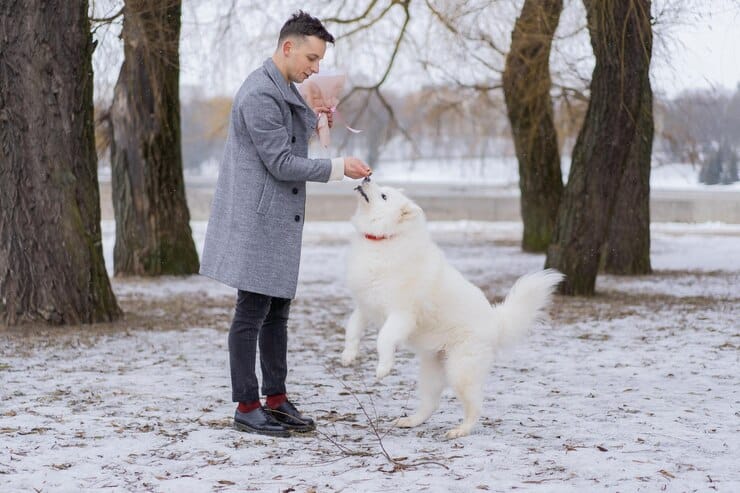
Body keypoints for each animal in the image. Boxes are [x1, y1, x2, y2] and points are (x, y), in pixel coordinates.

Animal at [342, 177, 560, 438]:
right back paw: (410, 421)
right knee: (431, 404)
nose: (366, 177)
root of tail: (496, 323)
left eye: (384, 196)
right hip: (431, 372)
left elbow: (383, 339)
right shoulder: (364, 305)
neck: (385, 239)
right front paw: (348, 355)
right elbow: (352, 329)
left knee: (475, 406)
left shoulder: (401, 315)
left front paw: (383, 368)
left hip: (460, 371)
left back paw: (460, 430)